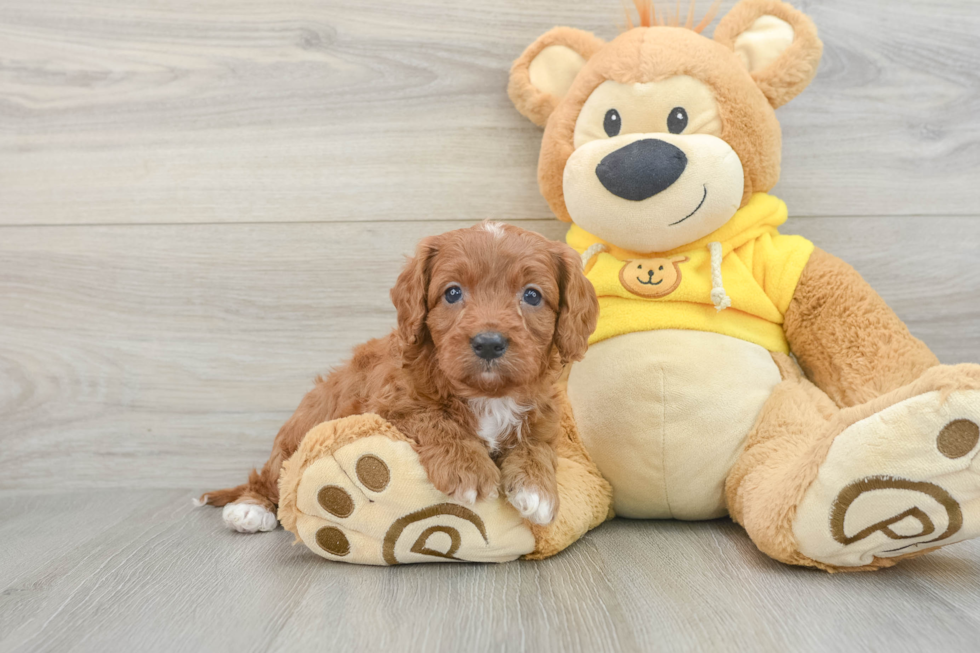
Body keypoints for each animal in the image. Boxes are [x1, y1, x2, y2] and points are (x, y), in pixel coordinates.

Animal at [201, 222, 596, 532]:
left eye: (532, 296)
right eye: (453, 292)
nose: (488, 343)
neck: (488, 394)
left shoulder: (543, 413)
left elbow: (536, 444)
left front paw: (538, 489)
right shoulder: (391, 404)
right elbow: (433, 416)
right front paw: (468, 468)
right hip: (297, 435)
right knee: (270, 475)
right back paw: (249, 508)